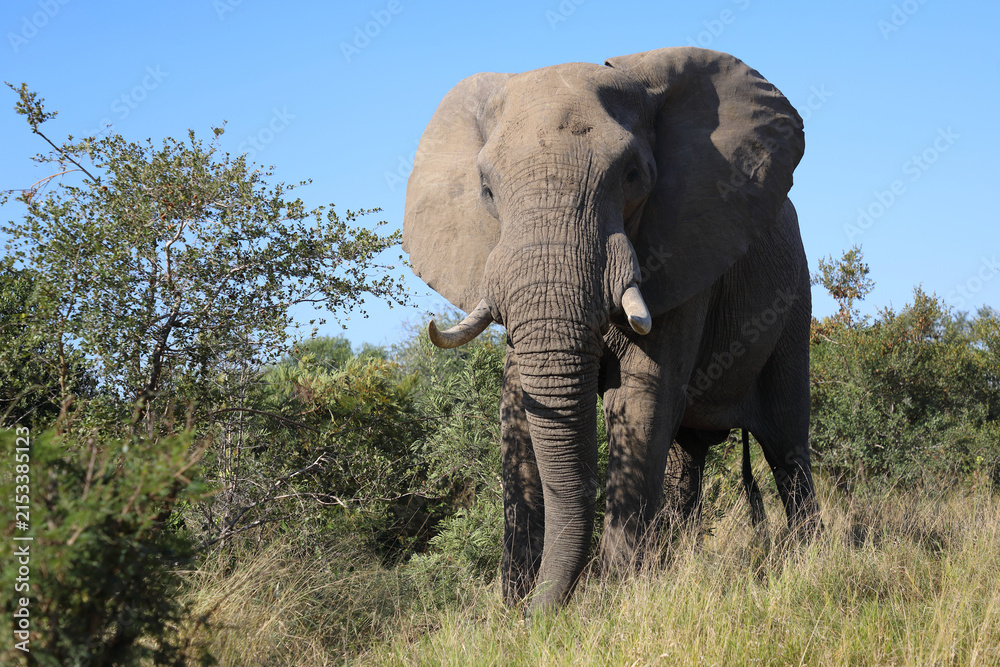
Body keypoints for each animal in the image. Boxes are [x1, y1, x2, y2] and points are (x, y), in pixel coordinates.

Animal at [402, 47, 821, 614]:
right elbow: (519, 406)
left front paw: (614, 601)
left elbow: (638, 399)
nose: (543, 615)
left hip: (793, 299)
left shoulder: (686, 250)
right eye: (487, 190)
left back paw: (810, 560)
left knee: (785, 442)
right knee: (687, 458)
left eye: (632, 175)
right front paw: (512, 612)